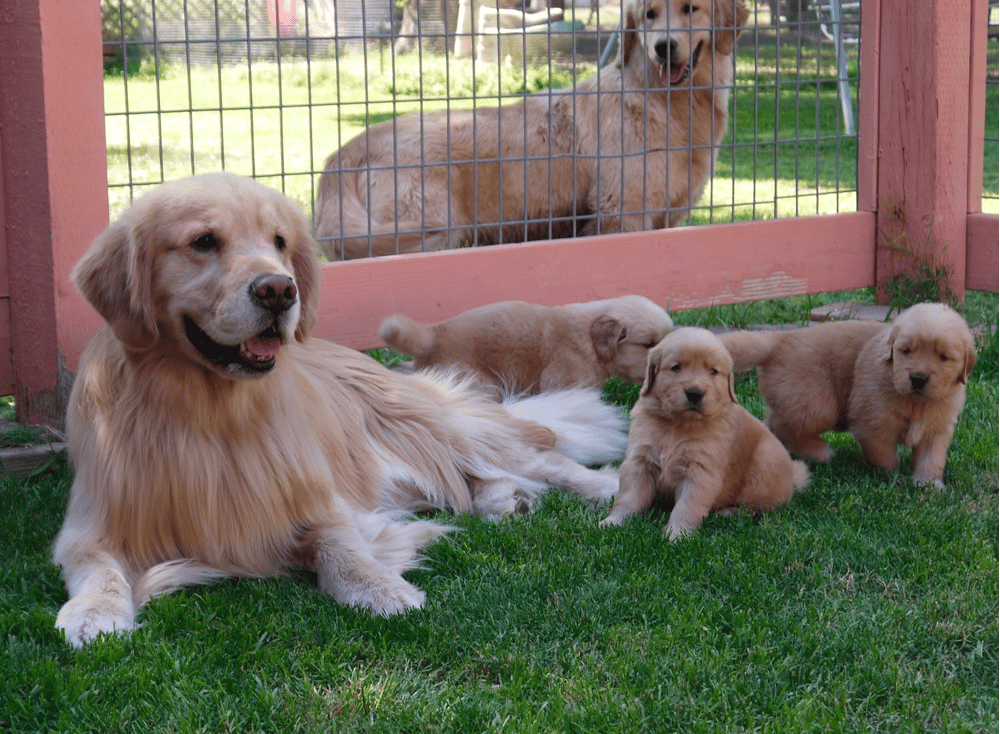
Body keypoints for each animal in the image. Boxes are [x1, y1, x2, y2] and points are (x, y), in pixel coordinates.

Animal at [52, 175, 624, 648]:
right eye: (203, 242)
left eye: (279, 242)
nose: (279, 290)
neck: (211, 413)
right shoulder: (90, 523)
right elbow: (96, 566)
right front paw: (94, 612)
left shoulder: (317, 501)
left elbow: (341, 547)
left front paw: (381, 587)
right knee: (459, 481)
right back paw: (505, 499)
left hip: (428, 424)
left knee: (537, 454)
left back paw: (605, 489)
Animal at [314, 0, 752, 260]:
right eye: (649, 14)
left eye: (691, 8)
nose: (663, 47)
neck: (662, 100)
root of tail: (346, 151)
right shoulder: (621, 213)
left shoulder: (665, 219)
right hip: (426, 234)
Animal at [596, 328, 808, 540]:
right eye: (676, 367)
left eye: (713, 371)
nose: (695, 393)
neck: (677, 425)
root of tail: (792, 478)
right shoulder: (640, 462)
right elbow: (628, 497)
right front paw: (613, 522)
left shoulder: (700, 471)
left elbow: (687, 506)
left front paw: (677, 535)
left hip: (765, 461)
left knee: (757, 507)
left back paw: (729, 512)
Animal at [720, 300, 976, 488]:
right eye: (906, 351)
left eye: (943, 357)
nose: (918, 379)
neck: (916, 402)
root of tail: (781, 339)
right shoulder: (870, 421)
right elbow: (884, 454)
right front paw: (890, 475)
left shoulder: (937, 427)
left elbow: (931, 457)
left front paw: (928, 484)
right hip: (818, 404)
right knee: (783, 425)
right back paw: (822, 452)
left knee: (773, 421)